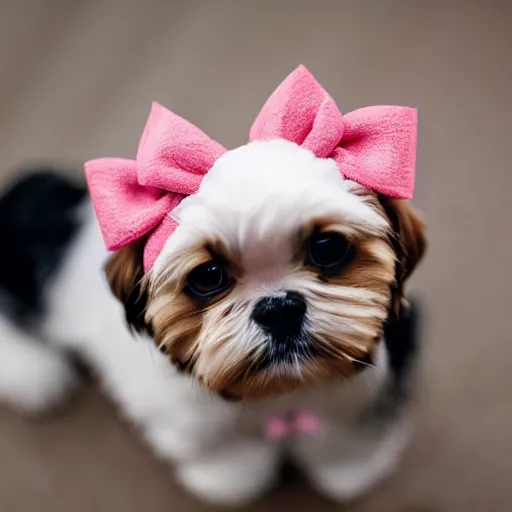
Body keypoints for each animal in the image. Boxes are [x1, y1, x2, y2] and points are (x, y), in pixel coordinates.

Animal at [0, 67, 424, 504]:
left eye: (328, 248)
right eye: (207, 275)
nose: (279, 309)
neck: (280, 392)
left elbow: (345, 433)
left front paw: (349, 467)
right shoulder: (180, 411)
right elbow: (222, 450)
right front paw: (231, 476)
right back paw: (31, 372)